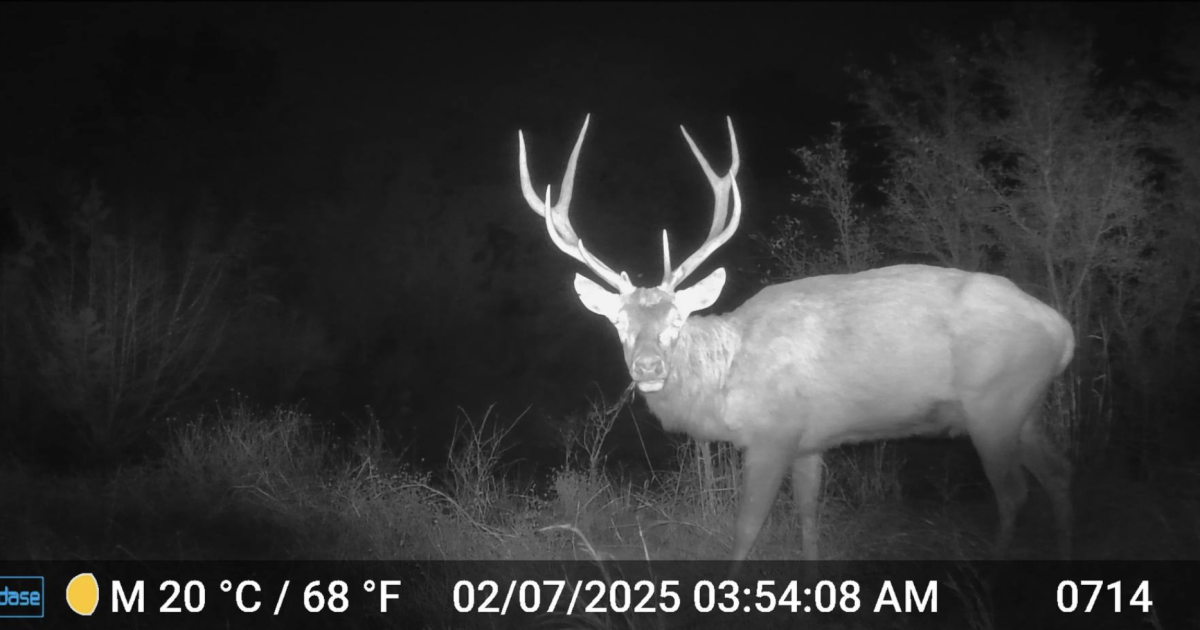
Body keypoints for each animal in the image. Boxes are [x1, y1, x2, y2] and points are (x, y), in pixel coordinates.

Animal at [516, 114, 1074, 568]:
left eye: (677, 318)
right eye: (619, 323)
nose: (649, 366)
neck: (728, 380)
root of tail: (1061, 329)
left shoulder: (773, 433)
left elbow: (746, 529)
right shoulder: (811, 441)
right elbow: (809, 519)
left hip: (994, 403)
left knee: (1014, 493)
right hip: (1025, 408)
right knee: (1059, 476)